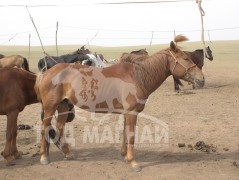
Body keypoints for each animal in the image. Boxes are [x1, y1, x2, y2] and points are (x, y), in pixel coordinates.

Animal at [34, 35, 204, 172]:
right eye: (186, 59)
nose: (201, 79)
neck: (138, 76)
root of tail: (47, 71)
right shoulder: (132, 113)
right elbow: (131, 136)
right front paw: (133, 162)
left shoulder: (127, 113)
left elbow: (125, 133)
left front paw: (125, 156)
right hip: (50, 107)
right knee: (45, 128)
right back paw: (44, 157)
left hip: (63, 105)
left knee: (60, 127)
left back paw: (68, 153)